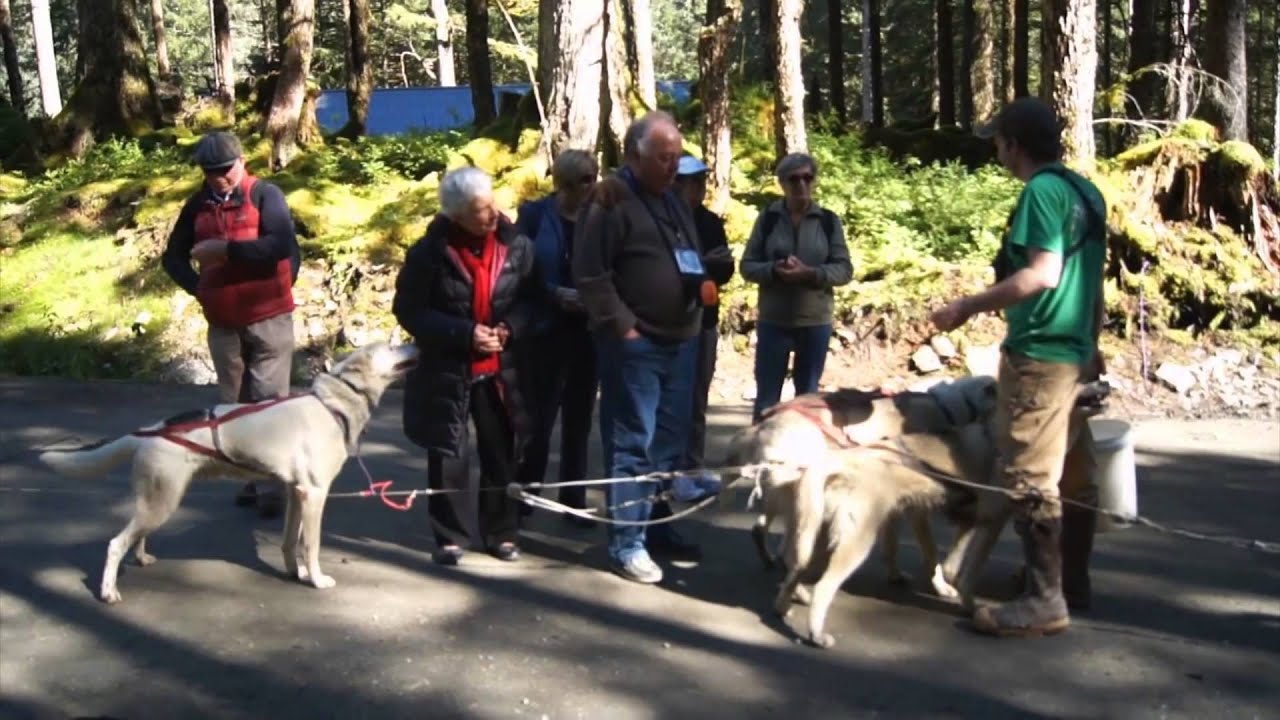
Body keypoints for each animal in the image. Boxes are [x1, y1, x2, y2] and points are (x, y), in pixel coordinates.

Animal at [37, 340, 417, 599]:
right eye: (390, 346)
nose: (414, 341)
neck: (332, 404)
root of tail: (149, 430)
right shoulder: (314, 495)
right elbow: (311, 546)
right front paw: (316, 579)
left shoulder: (296, 493)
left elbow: (289, 542)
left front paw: (295, 573)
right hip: (162, 503)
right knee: (116, 543)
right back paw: (108, 592)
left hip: (155, 502)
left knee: (137, 536)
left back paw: (142, 558)